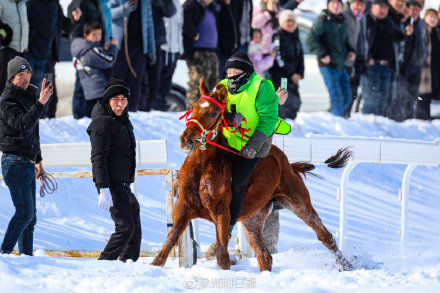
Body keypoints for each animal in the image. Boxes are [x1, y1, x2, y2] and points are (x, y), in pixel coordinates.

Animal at [151, 78, 354, 272]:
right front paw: (155, 265)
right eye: (192, 108)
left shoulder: (222, 213)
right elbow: (166, 247)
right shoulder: (183, 209)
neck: (202, 169)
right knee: (265, 256)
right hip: (252, 220)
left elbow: (223, 258)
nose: (187, 140)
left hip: (299, 202)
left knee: (325, 236)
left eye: (213, 113)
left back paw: (347, 265)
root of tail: (287, 164)